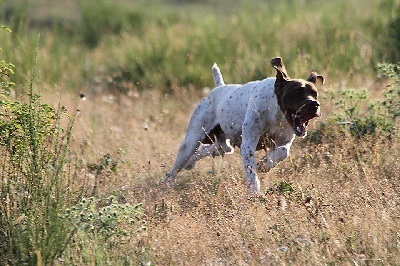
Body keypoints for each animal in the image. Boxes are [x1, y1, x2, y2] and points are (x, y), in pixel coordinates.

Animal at [164, 57, 324, 195]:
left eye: (315, 94)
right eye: (296, 92)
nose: (315, 105)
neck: (276, 111)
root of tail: (218, 89)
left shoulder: (283, 141)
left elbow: (284, 152)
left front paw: (265, 164)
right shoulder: (247, 144)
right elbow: (251, 173)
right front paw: (254, 193)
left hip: (222, 145)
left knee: (205, 150)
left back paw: (190, 163)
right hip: (191, 142)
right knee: (174, 170)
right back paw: (164, 189)